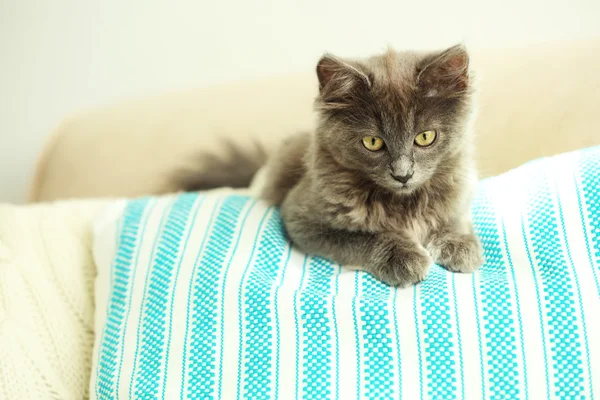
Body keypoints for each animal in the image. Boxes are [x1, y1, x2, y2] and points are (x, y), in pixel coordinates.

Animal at [258, 44, 482, 288]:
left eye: (425, 137)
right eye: (372, 142)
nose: (403, 175)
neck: (404, 203)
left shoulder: (459, 188)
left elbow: (454, 215)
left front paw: (460, 244)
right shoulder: (300, 217)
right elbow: (359, 237)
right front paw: (401, 256)